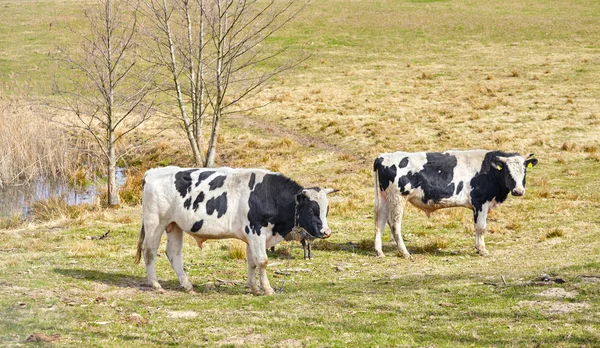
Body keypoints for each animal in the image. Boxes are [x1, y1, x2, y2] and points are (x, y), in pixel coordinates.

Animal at [133, 165, 336, 294]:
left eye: (326, 209)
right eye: (312, 210)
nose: (326, 232)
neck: (270, 195)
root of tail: (153, 171)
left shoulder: (252, 237)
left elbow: (252, 262)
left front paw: (254, 288)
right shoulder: (256, 232)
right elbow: (262, 261)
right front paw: (267, 289)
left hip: (174, 225)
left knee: (173, 254)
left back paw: (187, 285)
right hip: (155, 223)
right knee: (150, 251)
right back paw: (156, 284)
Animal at [376, 150, 540, 258]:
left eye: (524, 171)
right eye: (507, 172)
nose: (518, 191)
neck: (488, 171)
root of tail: (382, 156)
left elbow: (477, 227)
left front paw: (478, 248)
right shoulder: (480, 202)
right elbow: (481, 227)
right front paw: (482, 250)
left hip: (384, 199)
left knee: (380, 222)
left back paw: (379, 251)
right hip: (397, 198)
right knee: (394, 224)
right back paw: (405, 252)